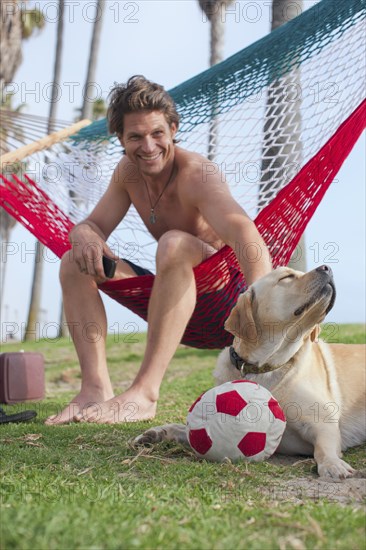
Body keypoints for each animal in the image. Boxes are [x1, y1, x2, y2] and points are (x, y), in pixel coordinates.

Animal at [135, 268, 366, 484]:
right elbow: (183, 429)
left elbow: (323, 449)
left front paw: (333, 464)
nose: (327, 268)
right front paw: (156, 433)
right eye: (287, 277)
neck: (264, 368)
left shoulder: (323, 424)